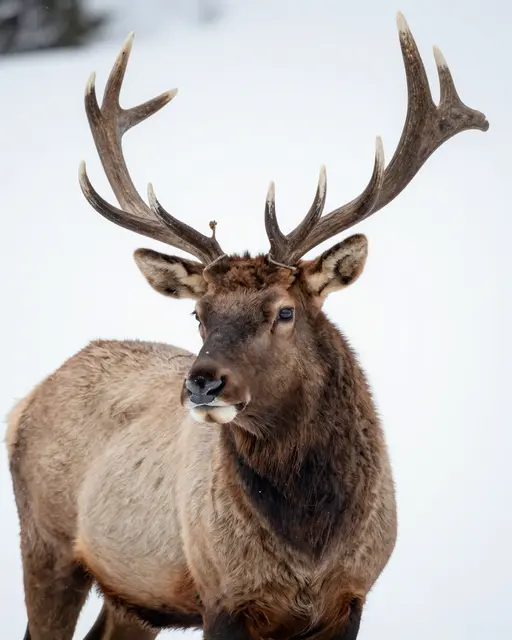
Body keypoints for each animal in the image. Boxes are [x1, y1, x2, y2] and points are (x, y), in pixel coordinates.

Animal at [5, 12, 488, 640]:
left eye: (285, 310)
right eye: (198, 313)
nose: (202, 383)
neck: (309, 548)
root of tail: (24, 402)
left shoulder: (351, 596)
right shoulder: (224, 596)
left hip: (132, 593)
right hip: (45, 541)